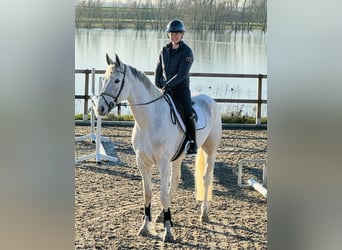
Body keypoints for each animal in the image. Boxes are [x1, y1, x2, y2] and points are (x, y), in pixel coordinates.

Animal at [96, 53, 222, 242]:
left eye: (117, 80)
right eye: (103, 79)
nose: (100, 108)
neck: (149, 121)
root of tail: (209, 99)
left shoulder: (162, 163)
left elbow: (162, 195)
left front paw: (168, 233)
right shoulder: (142, 162)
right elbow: (148, 193)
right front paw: (144, 227)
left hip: (210, 149)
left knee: (206, 179)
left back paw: (204, 214)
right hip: (178, 157)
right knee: (175, 180)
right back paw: (162, 215)